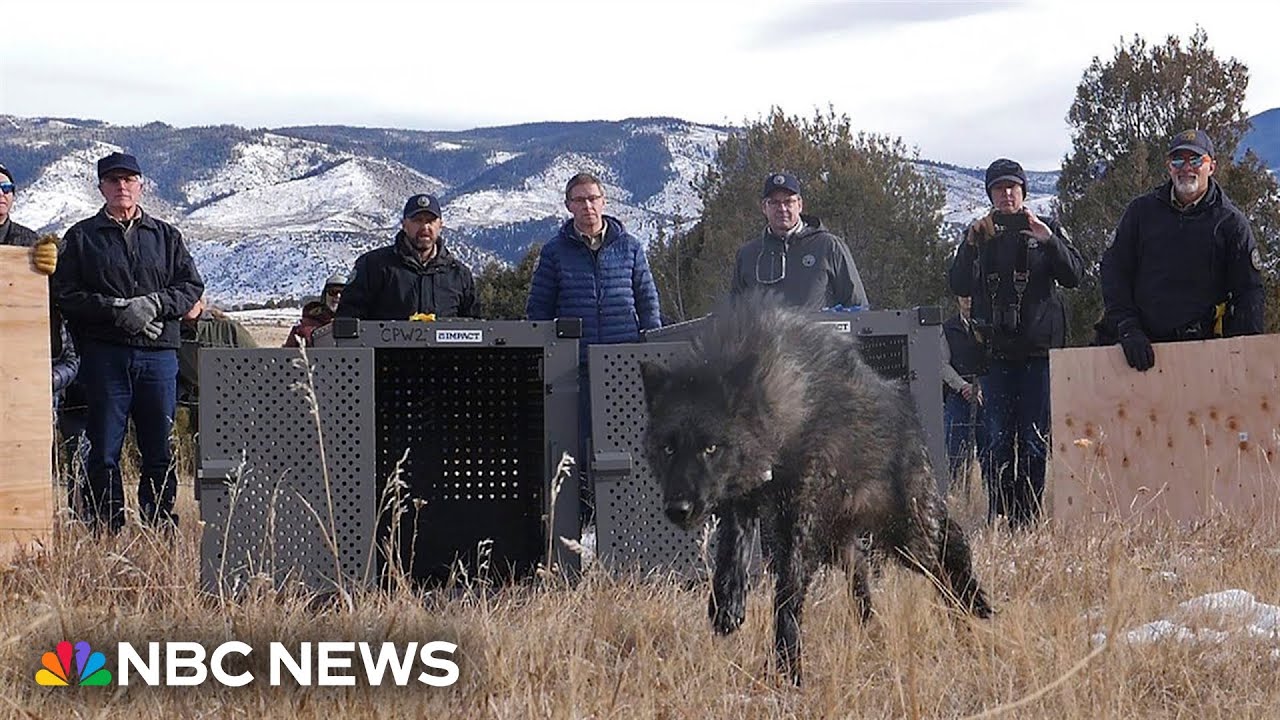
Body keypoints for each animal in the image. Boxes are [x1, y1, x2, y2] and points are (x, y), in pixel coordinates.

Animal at [640, 295, 993, 685]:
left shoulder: (799, 523)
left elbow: (787, 595)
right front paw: (727, 606)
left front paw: (788, 668)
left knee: (949, 558)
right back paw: (871, 631)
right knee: (863, 575)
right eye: (668, 448)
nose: (679, 509)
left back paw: (970, 612)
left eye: (710, 447)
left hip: (907, 538)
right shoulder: (742, 503)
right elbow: (732, 556)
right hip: (845, 543)